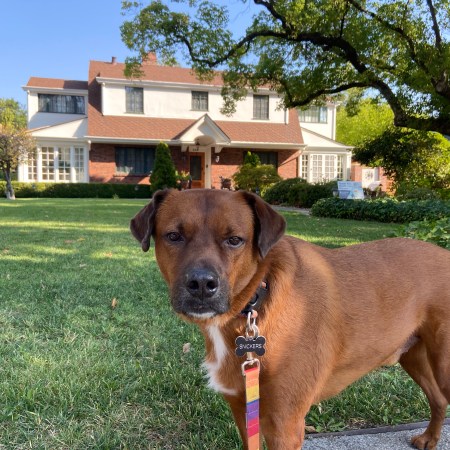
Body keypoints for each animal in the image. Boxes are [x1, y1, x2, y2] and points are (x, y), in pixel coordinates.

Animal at [130, 189, 450, 450]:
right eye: (173, 236)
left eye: (234, 240)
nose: (201, 284)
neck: (256, 301)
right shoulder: (244, 410)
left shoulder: (285, 425)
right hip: (413, 355)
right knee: (438, 399)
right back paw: (430, 439)